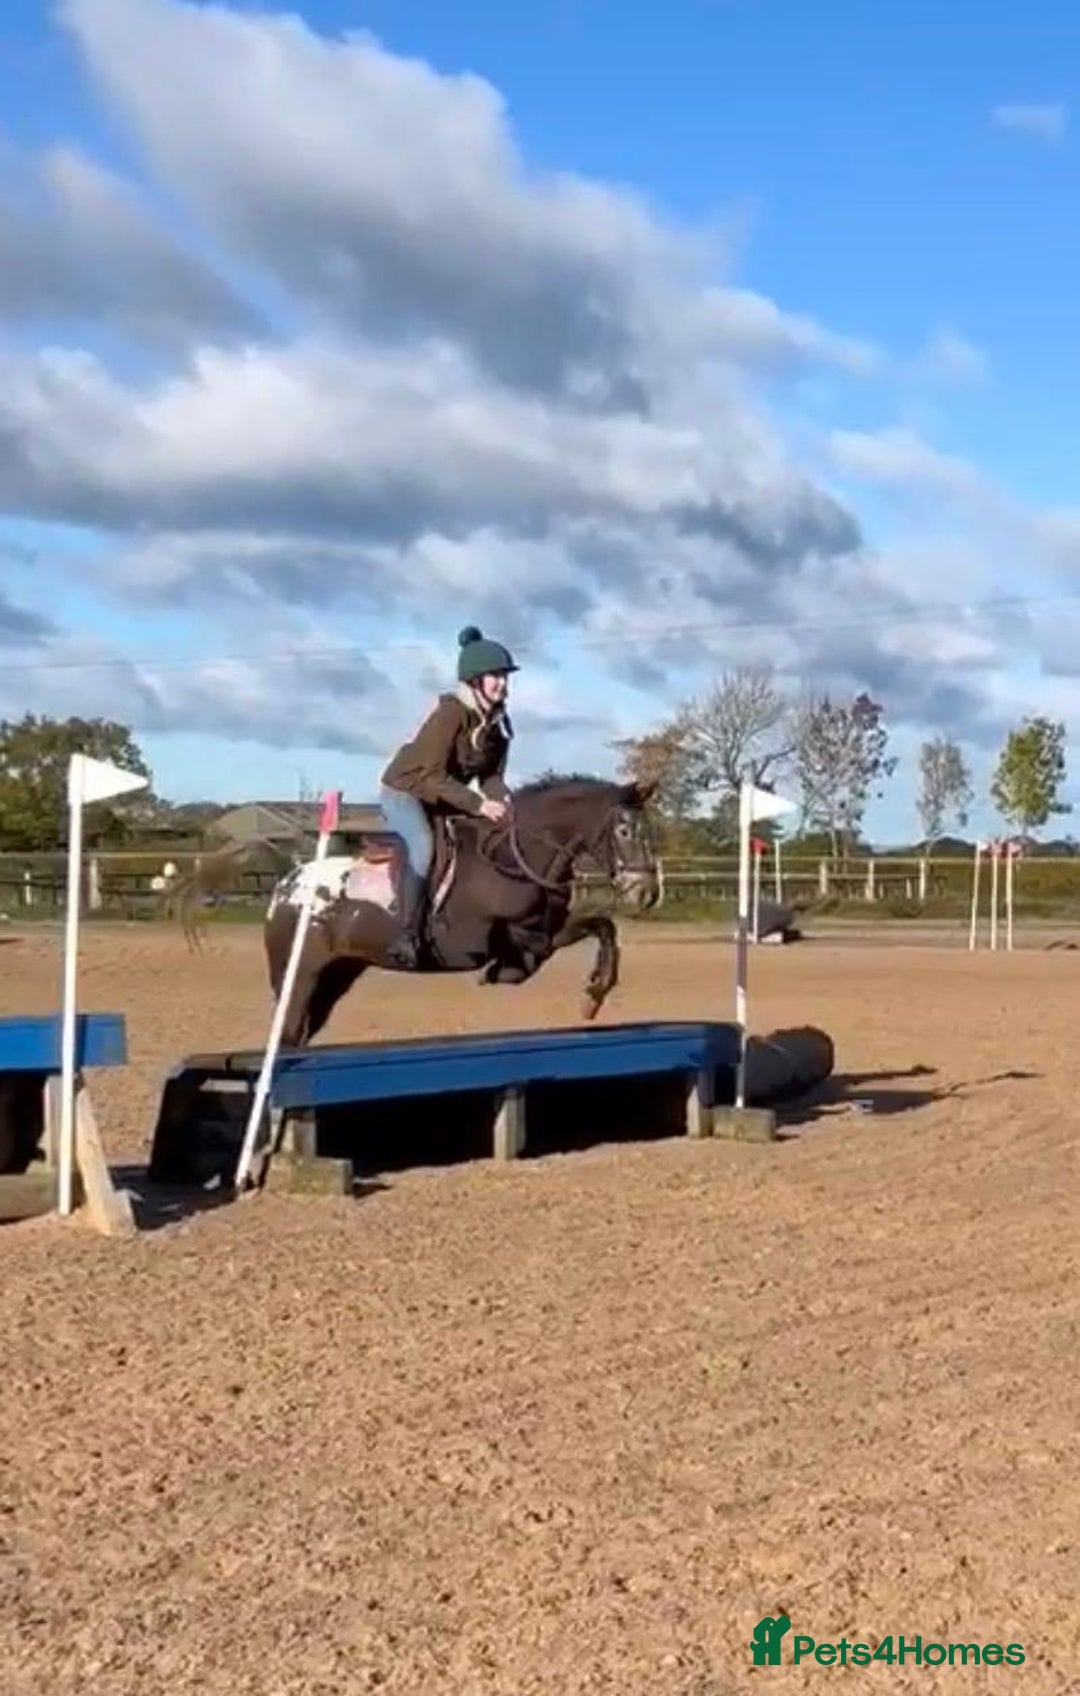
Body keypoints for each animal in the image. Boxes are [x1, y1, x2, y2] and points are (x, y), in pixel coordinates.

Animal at [263, 774, 660, 1047]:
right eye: (624, 830)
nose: (646, 893)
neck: (513, 858)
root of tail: (285, 887)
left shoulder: (551, 927)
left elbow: (602, 926)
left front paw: (593, 997)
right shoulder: (476, 940)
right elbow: (530, 947)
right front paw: (505, 972)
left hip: (336, 975)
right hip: (300, 974)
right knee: (288, 1032)